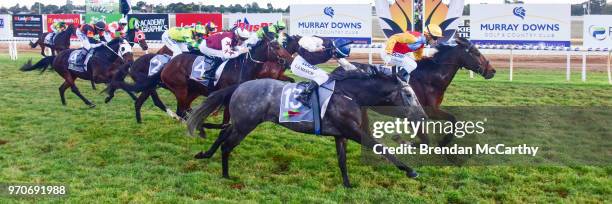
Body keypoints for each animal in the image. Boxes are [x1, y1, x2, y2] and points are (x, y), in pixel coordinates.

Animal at [184, 66, 418, 187]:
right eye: (408, 94)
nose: (421, 115)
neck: (349, 95)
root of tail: (240, 86)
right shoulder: (352, 130)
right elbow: (380, 147)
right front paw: (410, 170)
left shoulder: (341, 134)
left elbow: (342, 161)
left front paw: (347, 184)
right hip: (245, 125)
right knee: (227, 145)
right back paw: (226, 175)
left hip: (242, 122)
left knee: (224, 132)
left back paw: (204, 154)